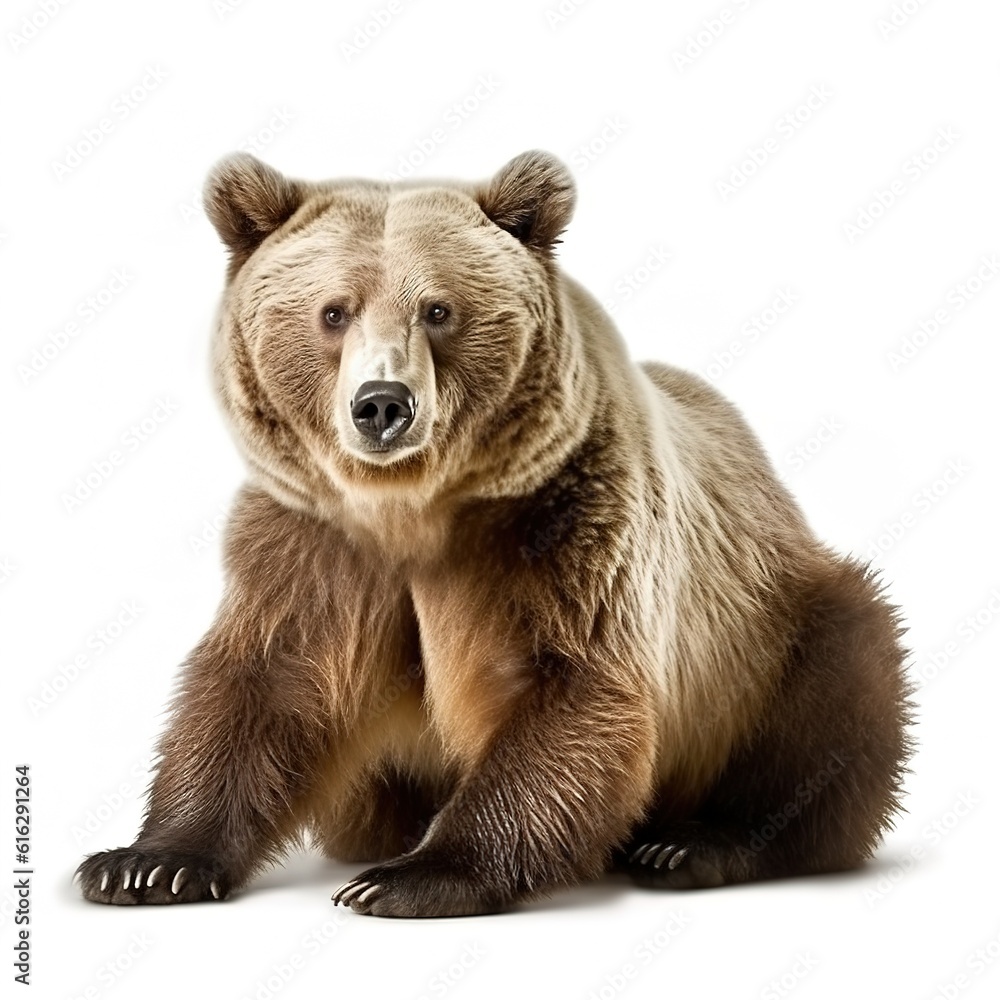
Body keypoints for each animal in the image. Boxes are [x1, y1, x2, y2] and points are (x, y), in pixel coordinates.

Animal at [75, 150, 914, 917]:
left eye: (438, 310)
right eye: (334, 311)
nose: (382, 404)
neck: (410, 508)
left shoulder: (561, 524)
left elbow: (565, 687)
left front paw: (409, 877)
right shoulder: (314, 541)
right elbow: (268, 680)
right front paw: (145, 863)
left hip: (770, 621)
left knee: (835, 692)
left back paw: (692, 844)